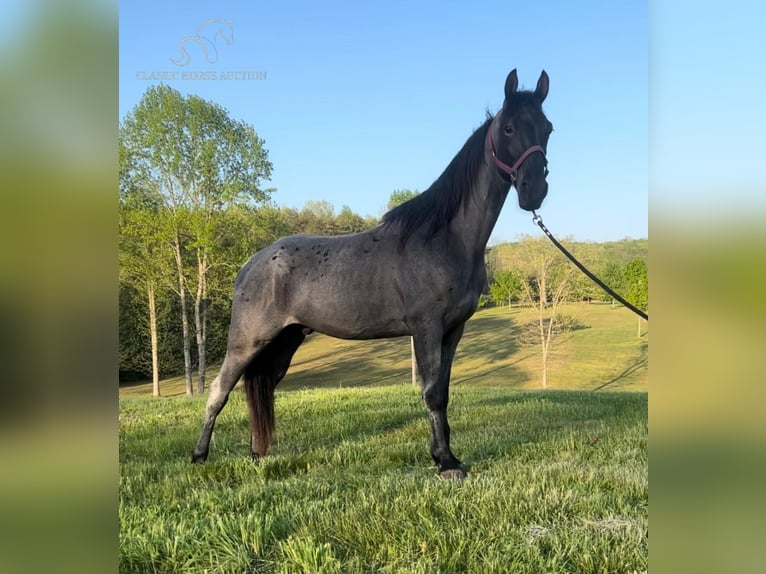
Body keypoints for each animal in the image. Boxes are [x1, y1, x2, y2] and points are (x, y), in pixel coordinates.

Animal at [191, 68, 552, 482]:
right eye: (508, 128)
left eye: (547, 128)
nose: (534, 190)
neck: (444, 236)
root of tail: (250, 265)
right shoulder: (426, 327)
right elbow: (432, 393)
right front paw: (445, 463)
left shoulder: (453, 331)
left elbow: (443, 392)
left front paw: (447, 456)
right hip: (247, 342)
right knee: (218, 390)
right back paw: (199, 456)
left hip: (284, 344)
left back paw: (256, 455)